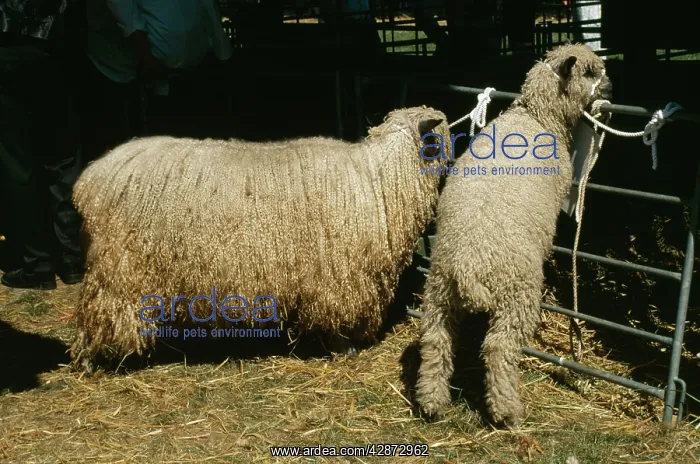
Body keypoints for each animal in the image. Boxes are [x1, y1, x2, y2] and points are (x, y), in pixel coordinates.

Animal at [70, 106, 451, 371]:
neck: (381, 178)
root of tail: (90, 180)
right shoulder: (341, 276)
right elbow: (339, 318)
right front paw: (346, 348)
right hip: (119, 270)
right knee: (97, 315)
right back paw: (91, 362)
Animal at [415, 44, 612, 427]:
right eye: (589, 72)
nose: (610, 89)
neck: (538, 117)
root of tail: (468, 265)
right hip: (515, 295)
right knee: (498, 348)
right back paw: (506, 411)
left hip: (438, 293)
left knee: (436, 340)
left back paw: (432, 403)